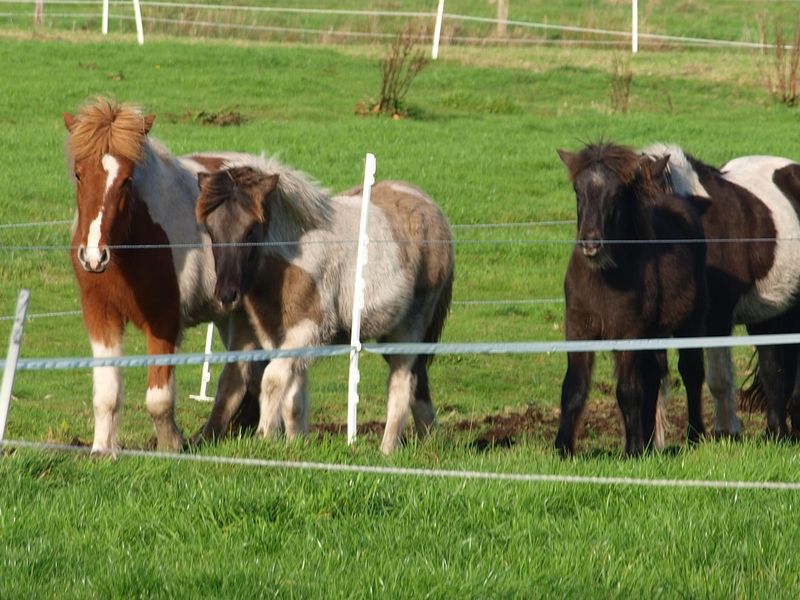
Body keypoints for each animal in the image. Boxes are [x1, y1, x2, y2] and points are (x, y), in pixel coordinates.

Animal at [195, 157, 454, 452]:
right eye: (211, 230)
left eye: (251, 230)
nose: (226, 293)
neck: (293, 262)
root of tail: (430, 208)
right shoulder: (277, 336)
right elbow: (293, 395)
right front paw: (295, 445)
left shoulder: (310, 330)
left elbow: (273, 379)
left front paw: (265, 438)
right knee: (418, 379)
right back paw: (430, 440)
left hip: (410, 327)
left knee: (402, 383)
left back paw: (387, 450)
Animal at [556, 144, 708, 454]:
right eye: (578, 190)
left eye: (616, 193)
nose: (591, 243)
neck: (604, 278)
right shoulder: (577, 330)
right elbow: (573, 388)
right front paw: (562, 448)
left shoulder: (628, 333)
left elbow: (627, 390)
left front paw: (633, 449)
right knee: (653, 377)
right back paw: (651, 442)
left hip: (691, 322)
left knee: (691, 372)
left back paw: (693, 435)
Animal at [644, 143, 800, 438]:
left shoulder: (716, 317)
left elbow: (717, 377)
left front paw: (726, 431)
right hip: (767, 312)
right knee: (773, 367)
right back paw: (777, 431)